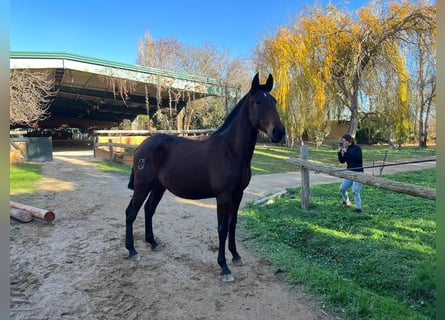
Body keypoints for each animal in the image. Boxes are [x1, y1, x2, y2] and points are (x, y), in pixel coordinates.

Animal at [125, 72, 284, 280]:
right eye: (257, 102)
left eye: (273, 101)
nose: (279, 132)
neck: (230, 150)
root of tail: (141, 147)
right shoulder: (223, 196)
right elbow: (222, 228)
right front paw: (224, 267)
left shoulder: (238, 194)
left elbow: (232, 224)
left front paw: (236, 256)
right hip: (143, 185)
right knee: (131, 212)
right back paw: (132, 250)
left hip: (158, 186)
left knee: (149, 209)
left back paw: (152, 243)